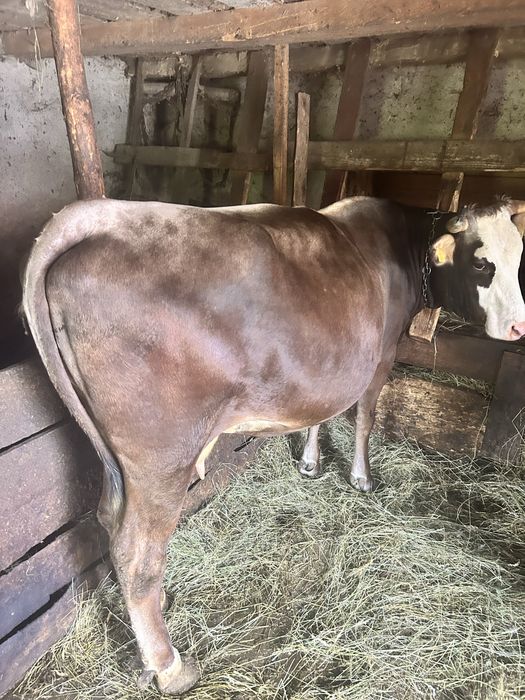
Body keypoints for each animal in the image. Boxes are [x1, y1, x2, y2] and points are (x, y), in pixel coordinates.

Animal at [22, 196, 525, 695]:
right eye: (482, 262)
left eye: (520, 257)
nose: (519, 328)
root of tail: (105, 214)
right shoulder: (381, 357)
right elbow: (364, 417)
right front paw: (361, 477)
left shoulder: (330, 371)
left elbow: (322, 414)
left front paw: (310, 463)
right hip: (160, 459)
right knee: (137, 552)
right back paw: (169, 665)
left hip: (115, 457)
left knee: (109, 519)